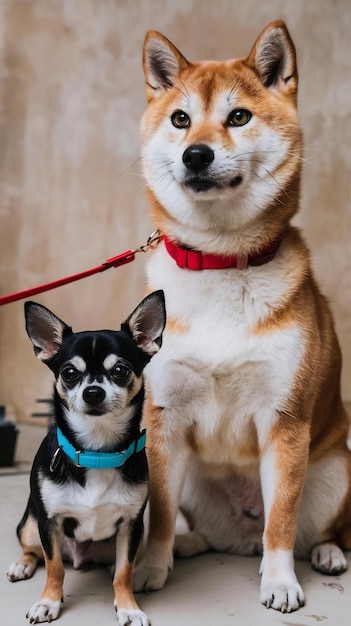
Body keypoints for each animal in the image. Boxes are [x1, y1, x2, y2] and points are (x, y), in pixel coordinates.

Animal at [6, 292, 166, 624]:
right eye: (69, 373)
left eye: (120, 370)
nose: (93, 392)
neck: (97, 452)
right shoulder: (49, 523)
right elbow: (54, 567)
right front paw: (48, 603)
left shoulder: (132, 526)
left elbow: (124, 572)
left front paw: (128, 607)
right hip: (30, 525)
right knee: (35, 551)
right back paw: (22, 564)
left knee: (116, 564)